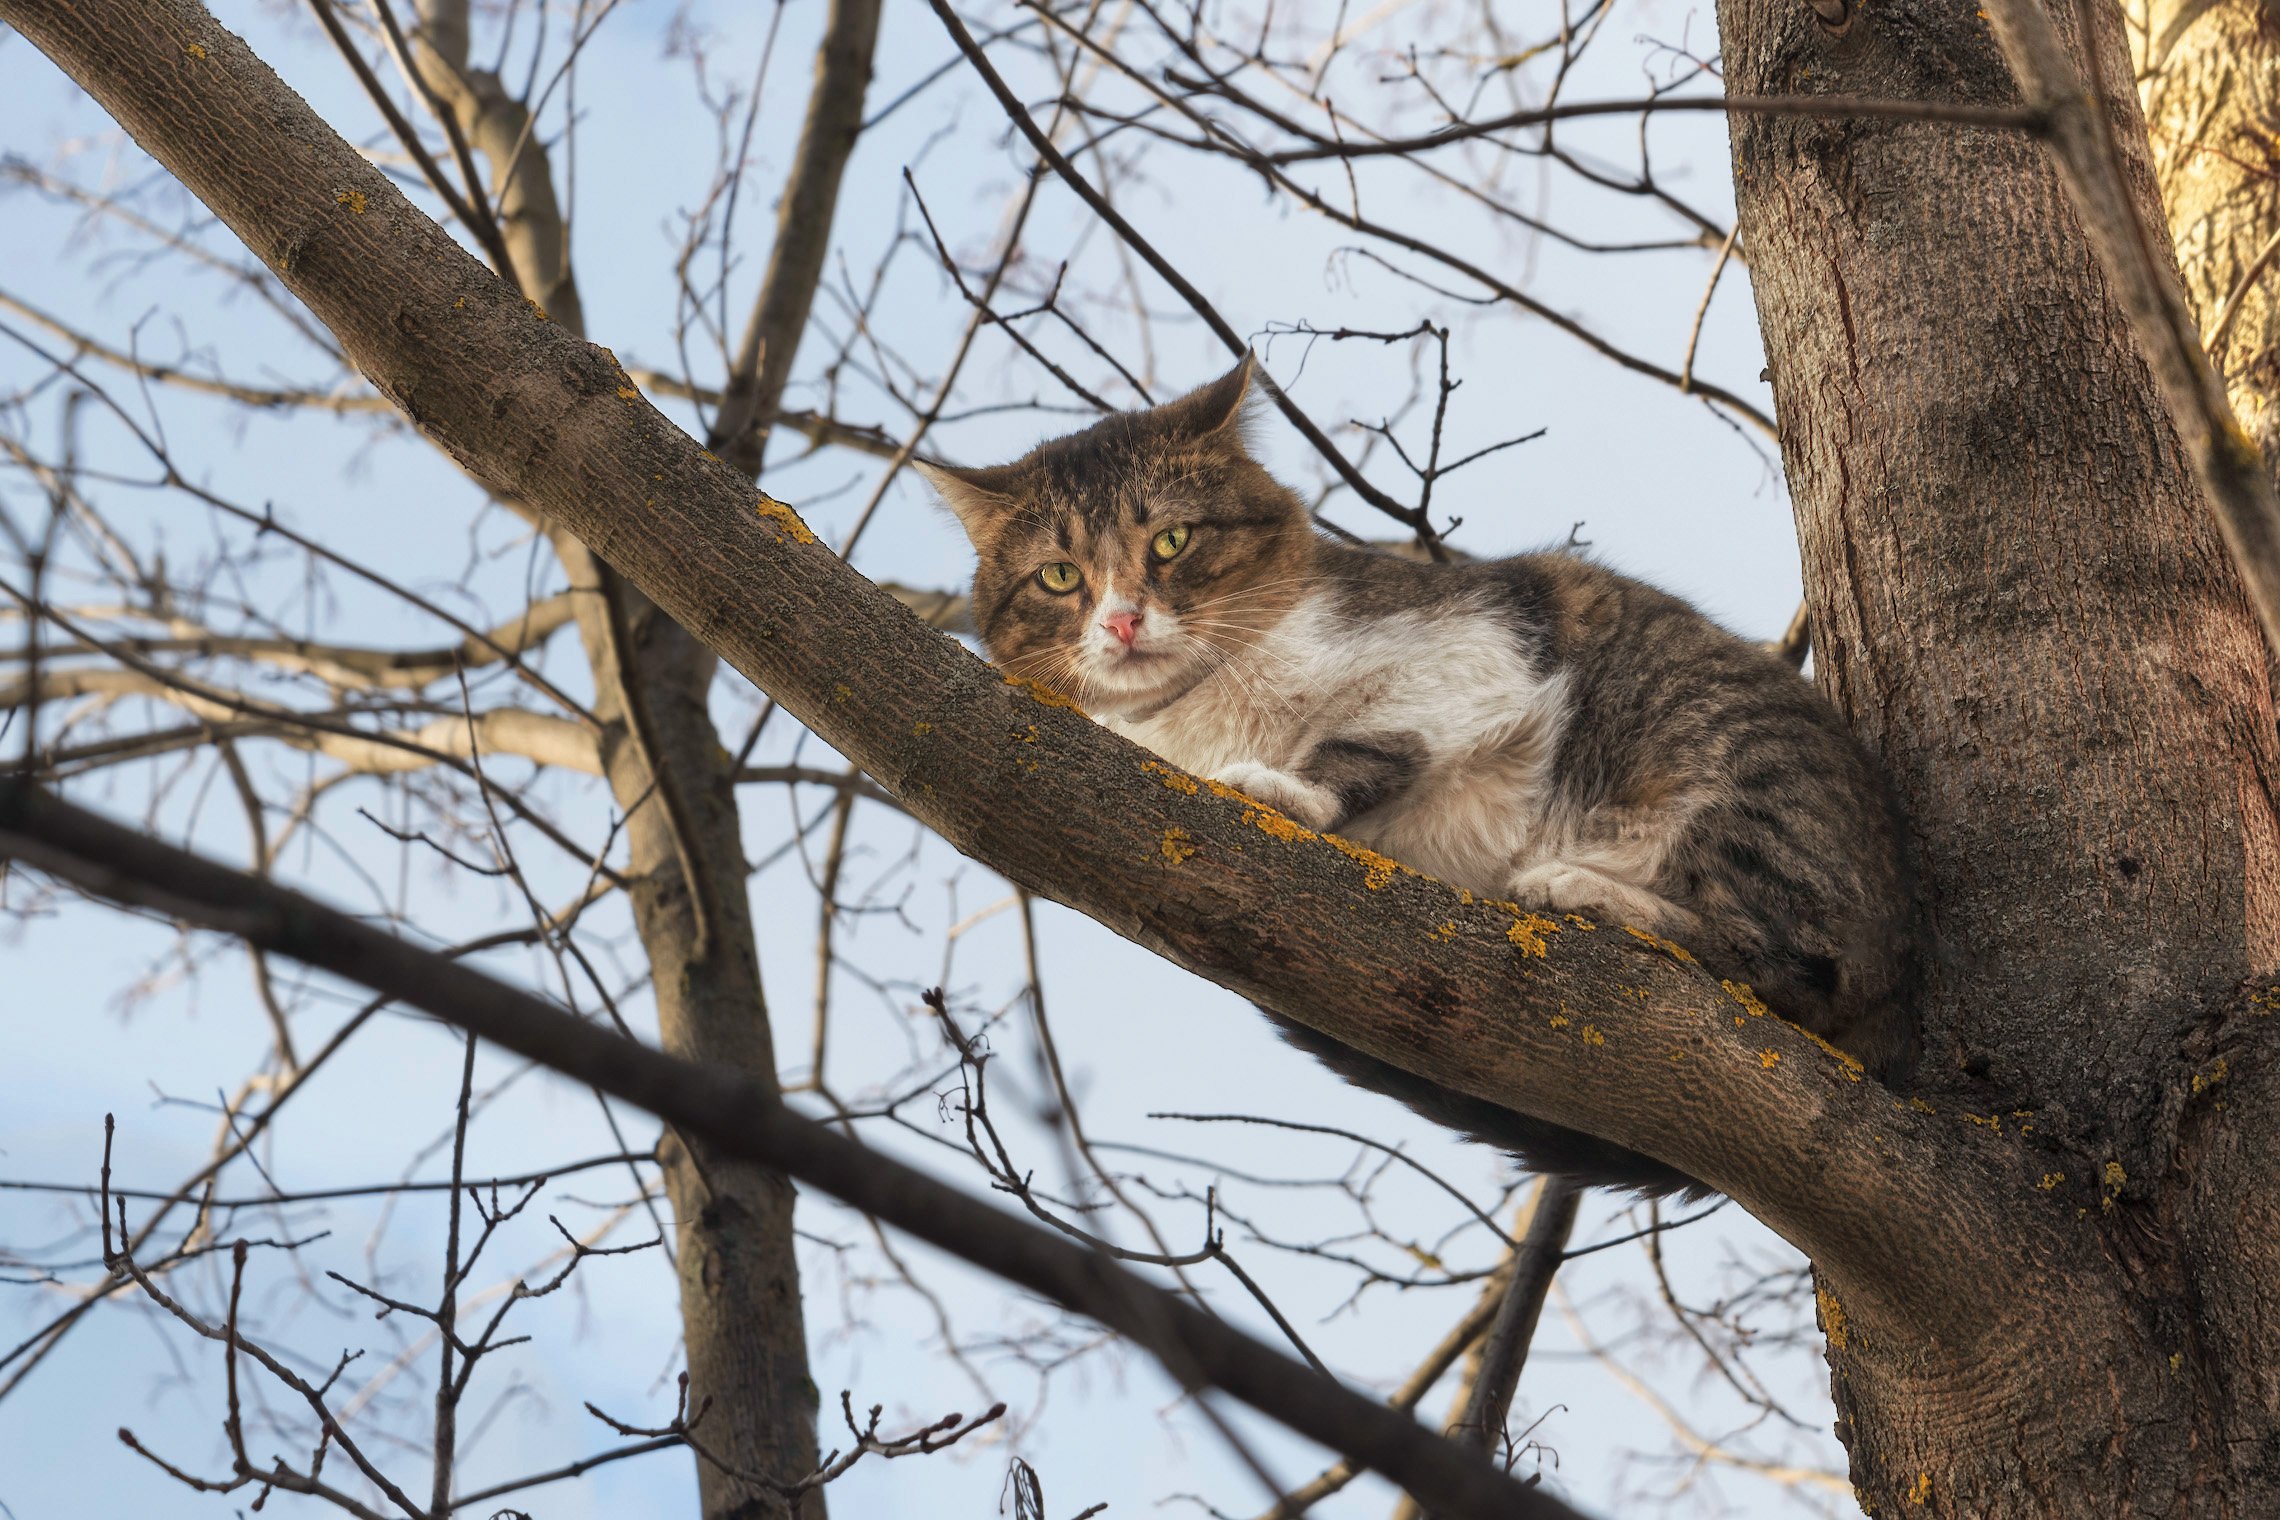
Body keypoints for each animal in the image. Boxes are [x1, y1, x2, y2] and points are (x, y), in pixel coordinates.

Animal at [916, 350, 1915, 1194]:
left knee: (1793, 965)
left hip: (1734, 782)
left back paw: (1583, 889)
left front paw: (1285, 786)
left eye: (1170, 542)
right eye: (1057, 576)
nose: (1122, 620)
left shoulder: (1472, 647)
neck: (1202, 710)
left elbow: (1372, 743)